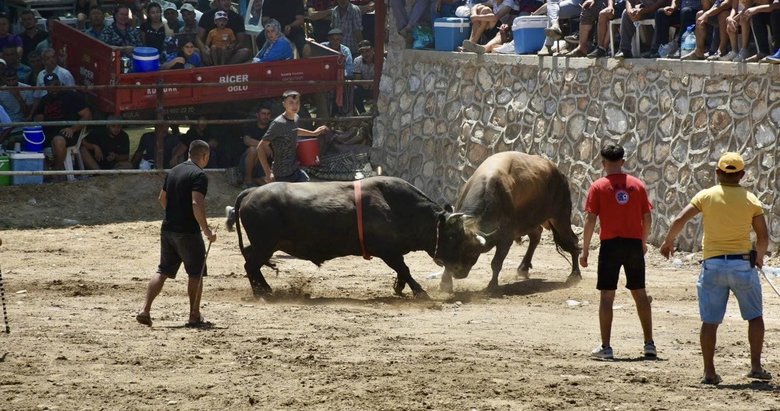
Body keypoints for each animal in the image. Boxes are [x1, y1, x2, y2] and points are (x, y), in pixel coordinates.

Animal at [222, 177, 484, 300]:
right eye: (452, 234)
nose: (466, 266)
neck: (397, 207)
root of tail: (251, 192)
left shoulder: (392, 252)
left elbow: (402, 271)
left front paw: (399, 287)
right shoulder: (388, 252)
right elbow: (405, 269)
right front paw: (420, 292)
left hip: (263, 245)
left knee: (251, 263)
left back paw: (264, 289)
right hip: (265, 244)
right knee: (250, 265)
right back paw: (262, 291)